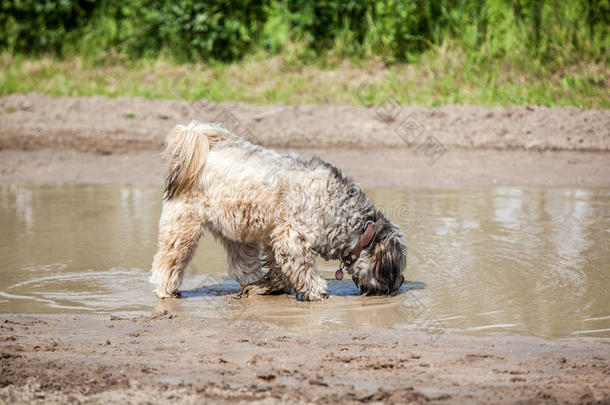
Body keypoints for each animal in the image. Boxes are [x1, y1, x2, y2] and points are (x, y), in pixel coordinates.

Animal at [150, 120, 406, 300]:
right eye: (397, 267)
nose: (402, 282)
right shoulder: (293, 238)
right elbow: (302, 267)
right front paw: (316, 290)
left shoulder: (277, 236)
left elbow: (279, 267)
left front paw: (271, 285)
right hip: (183, 226)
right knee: (169, 260)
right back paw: (167, 289)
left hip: (236, 228)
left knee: (241, 263)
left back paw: (253, 282)